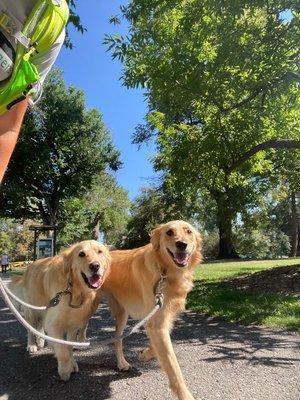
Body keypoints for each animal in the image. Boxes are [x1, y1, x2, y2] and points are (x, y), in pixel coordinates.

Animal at [9, 241, 111, 382]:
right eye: (81, 254)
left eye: (100, 252)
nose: (95, 266)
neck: (74, 289)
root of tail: (31, 265)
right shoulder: (54, 322)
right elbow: (63, 351)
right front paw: (65, 370)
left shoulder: (73, 325)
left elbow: (68, 346)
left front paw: (71, 362)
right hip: (32, 309)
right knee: (31, 328)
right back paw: (32, 345)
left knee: (40, 326)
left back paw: (42, 341)